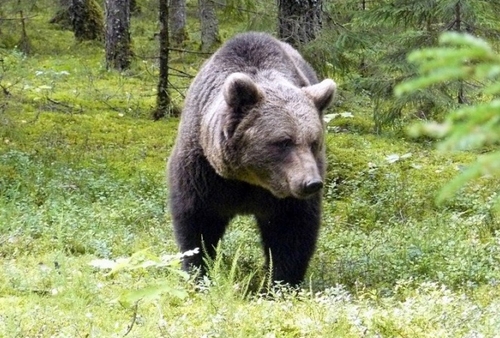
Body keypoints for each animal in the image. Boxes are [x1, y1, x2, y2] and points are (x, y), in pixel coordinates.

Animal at [168, 31, 336, 286]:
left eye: (314, 141)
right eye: (284, 141)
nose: (311, 183)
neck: (250, 180)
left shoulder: (286, 195)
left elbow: (291, 230)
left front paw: (281, 281)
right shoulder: (203, 172)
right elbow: (197, 223)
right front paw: (198, 272)